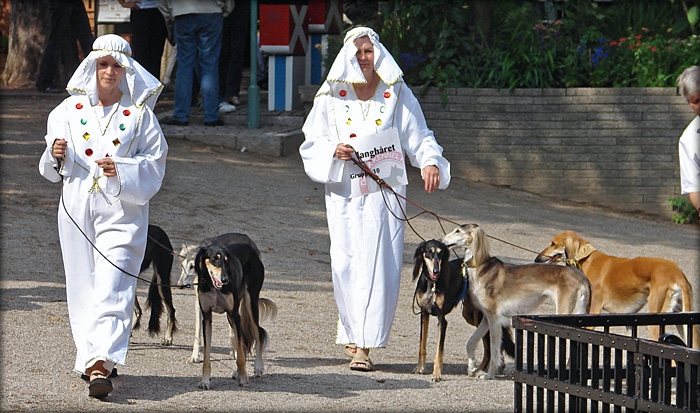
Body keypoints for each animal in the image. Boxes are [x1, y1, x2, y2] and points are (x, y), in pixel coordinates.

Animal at [196, 233, 278, 388]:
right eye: (214, 259)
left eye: (226, 260)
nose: (225, 279)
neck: (214, 287)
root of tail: (251, 247)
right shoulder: (207, 317)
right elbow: (207, 354)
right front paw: (205, 380)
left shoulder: (235, 315)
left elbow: (239, 351)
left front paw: (243, 377)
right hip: (232, 315)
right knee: (244, 340)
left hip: (250, 302)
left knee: (257, 333)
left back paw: (257, 366)